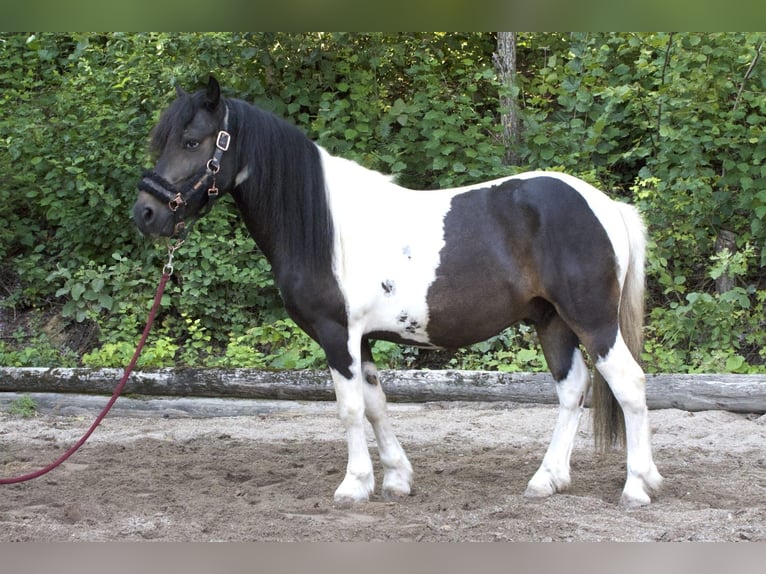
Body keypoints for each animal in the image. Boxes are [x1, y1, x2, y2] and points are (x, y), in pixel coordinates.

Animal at [135, 75, 664, 508]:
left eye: (191, 141)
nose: (145, 213)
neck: (327, 227)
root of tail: (606, 205)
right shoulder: (363, 340)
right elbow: (375, 405)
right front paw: (395, 479)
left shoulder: (337, 334)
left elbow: (349, 408)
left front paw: (353, 486)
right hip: (551, 320)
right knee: (573, 389)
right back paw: (547, 479)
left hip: (593, 321)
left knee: (630, 385)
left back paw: (637, 486)